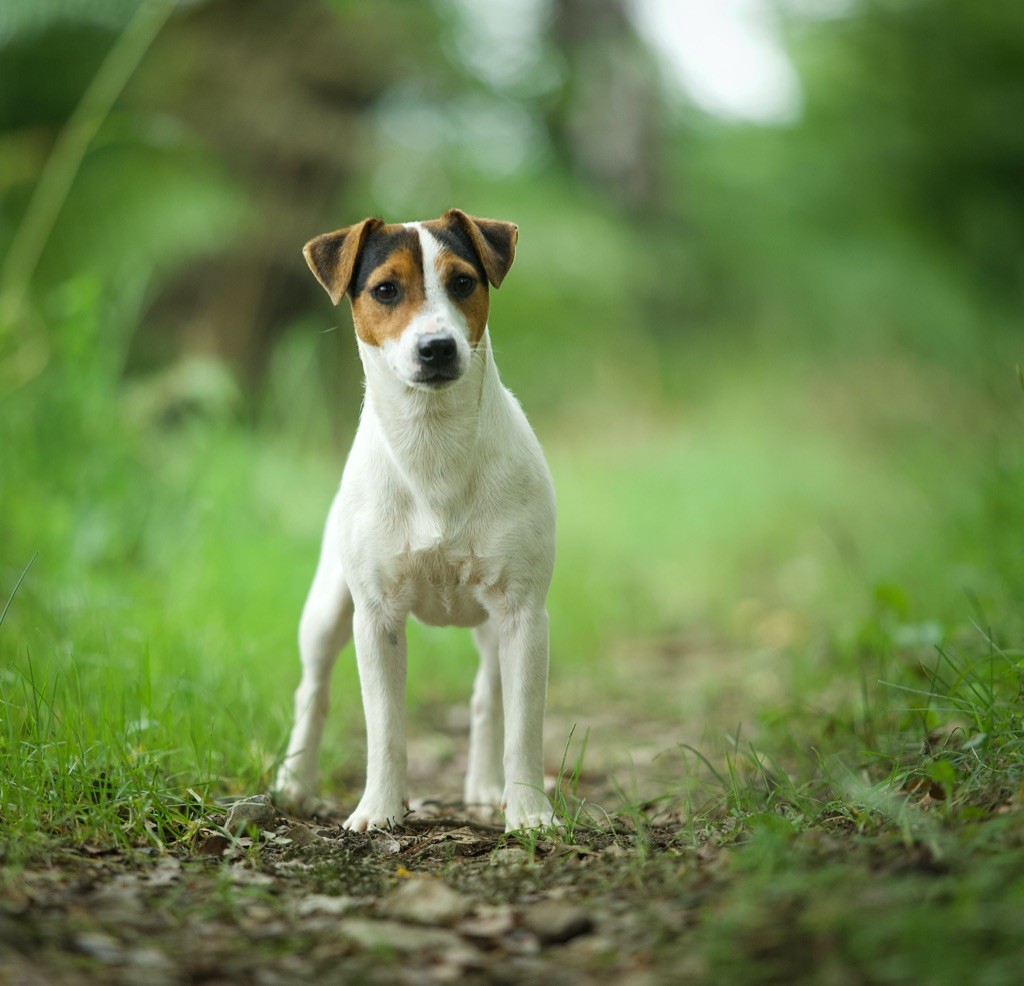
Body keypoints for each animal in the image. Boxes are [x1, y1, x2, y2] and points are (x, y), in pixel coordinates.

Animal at [274, 209, 561, 831]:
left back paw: (484, 787)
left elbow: (523, 727)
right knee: (312, 692)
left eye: (462, 282)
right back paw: (293, 783)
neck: (433, 450)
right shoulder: (376, 616)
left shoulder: (524, 613)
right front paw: (379, 810)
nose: (437, 348)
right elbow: (384, 729)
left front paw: (529, 812)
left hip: (492, 624)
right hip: (326, 609)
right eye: (386, 289)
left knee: (487, 698)